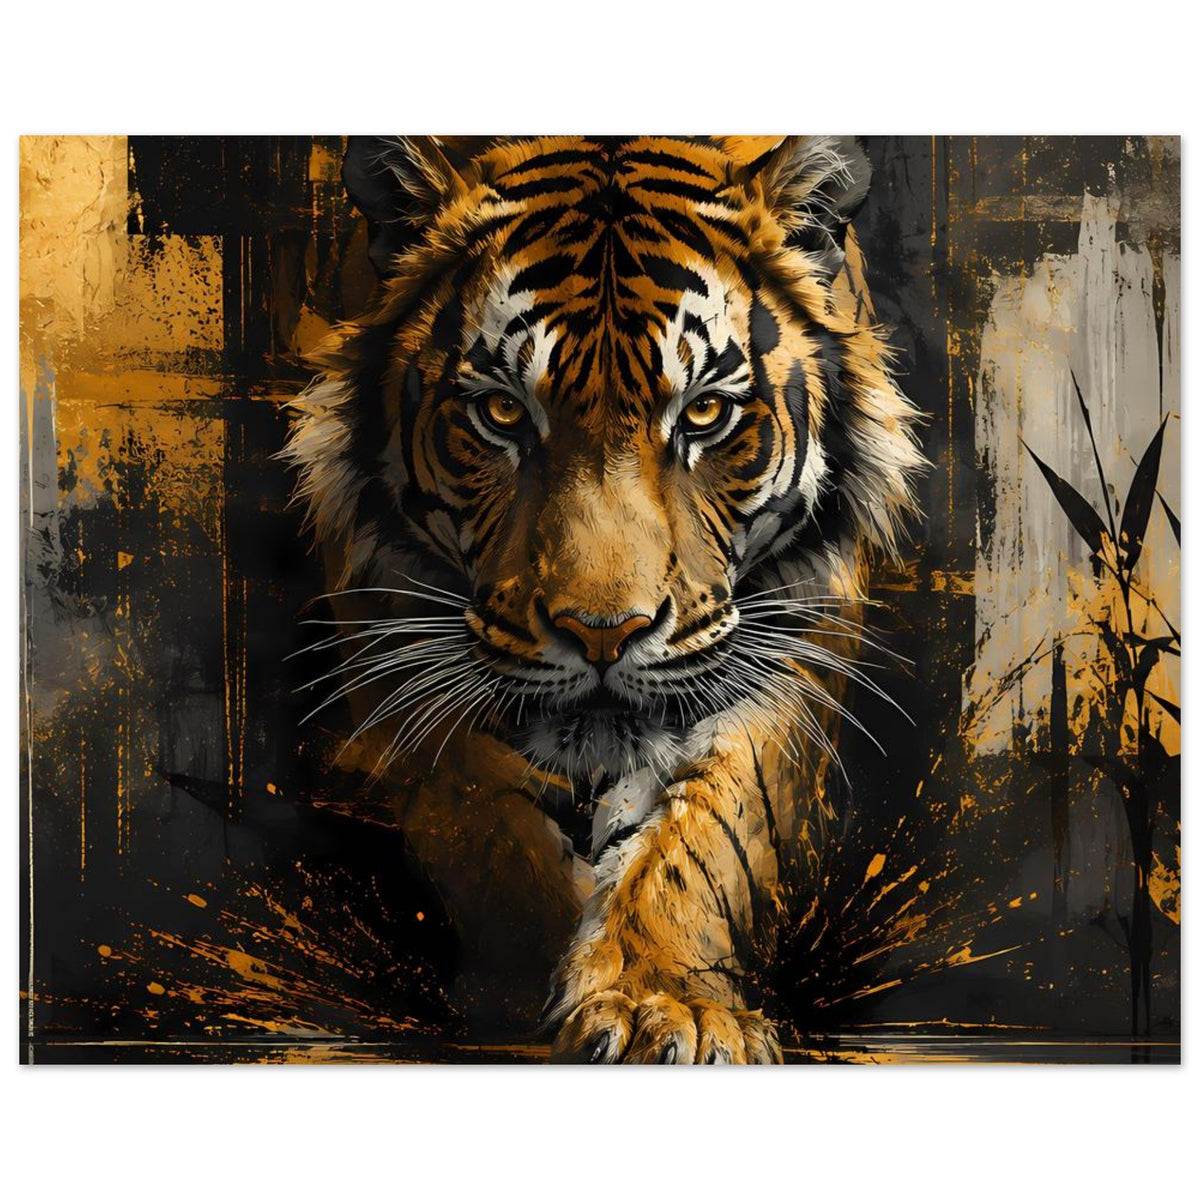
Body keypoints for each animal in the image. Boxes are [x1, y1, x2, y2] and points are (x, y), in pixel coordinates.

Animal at [283, 135, 924, 1063]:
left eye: (706, 414)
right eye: (502, 412)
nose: (602, 634)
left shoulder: (793, 640)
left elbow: (707, 838)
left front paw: (668, 1007)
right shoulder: (393, 629)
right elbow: (485, 827)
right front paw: (520, 996)